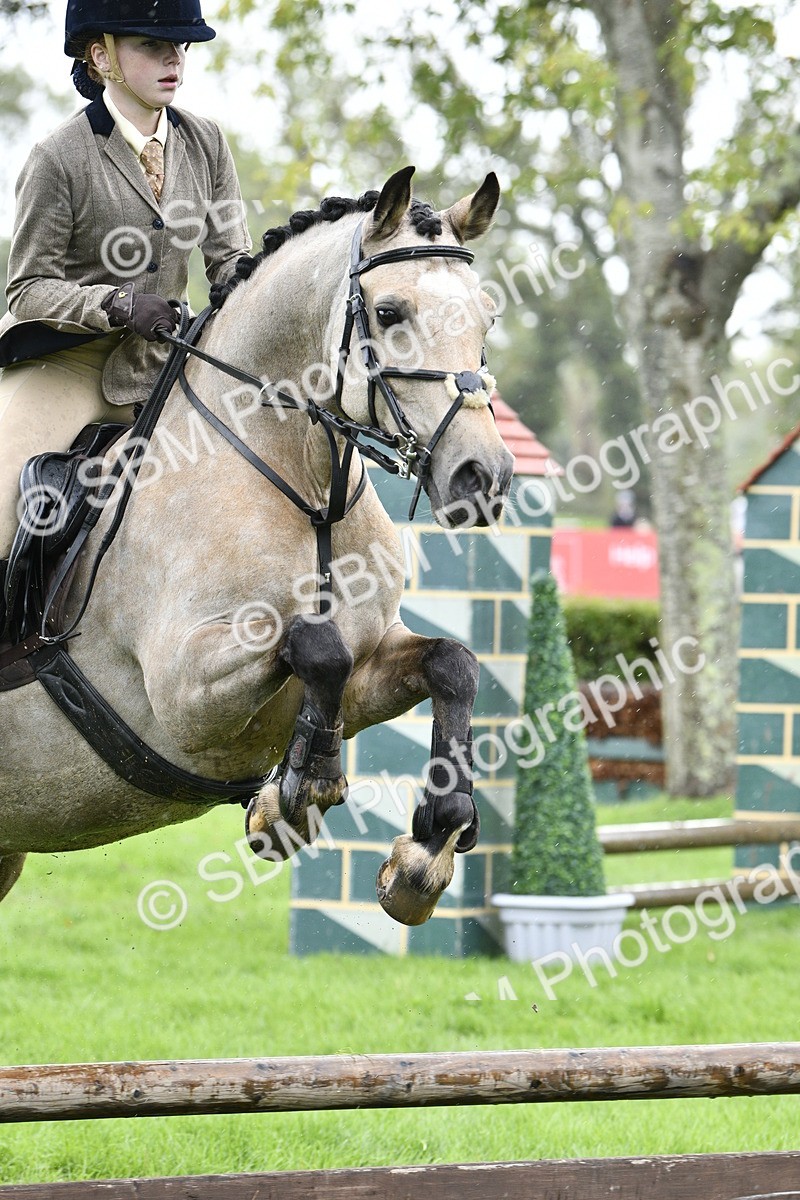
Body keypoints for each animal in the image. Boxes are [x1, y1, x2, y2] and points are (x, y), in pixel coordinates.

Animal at [0, 166, 513, 927]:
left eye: (485, 316)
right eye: (390, 312)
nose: (482, 476)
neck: (306, 489)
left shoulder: (372, 660)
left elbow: (451, 663)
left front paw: (427, 849)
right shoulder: (184, 694)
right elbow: (315, 644)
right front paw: (298, 792)